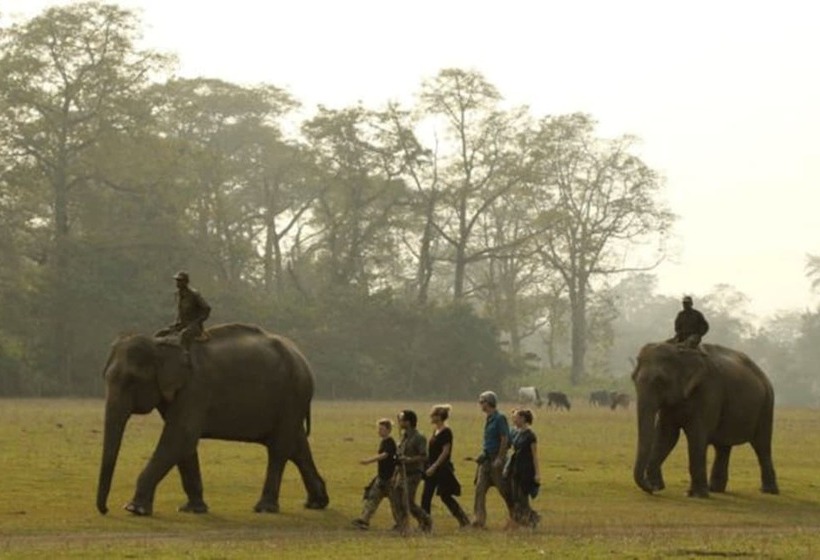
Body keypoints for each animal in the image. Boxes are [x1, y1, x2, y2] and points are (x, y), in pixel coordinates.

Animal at [96, 323, 329, 516]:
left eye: (131, 380)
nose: (105, 510)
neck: (161, 344)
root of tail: (302, 358)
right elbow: (185, 444)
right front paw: (192, 509)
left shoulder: (195, 388)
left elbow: (180, 436)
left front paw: (134, 509)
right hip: (292, 402)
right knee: (297, 446)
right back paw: (316, 503)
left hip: (293, 395)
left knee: (279, 449)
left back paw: (265, 508)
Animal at [631, 342, 778, 498]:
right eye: (633, 378)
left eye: (660, 381)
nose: (650, 489)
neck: (682, 353)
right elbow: (666, 436)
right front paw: (657, 486)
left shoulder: (708, 393)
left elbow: (696, 436)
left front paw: (696, 495)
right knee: (723, 447)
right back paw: (715, 489)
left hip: (767, 405)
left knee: (762, 446)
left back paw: (769, 491)